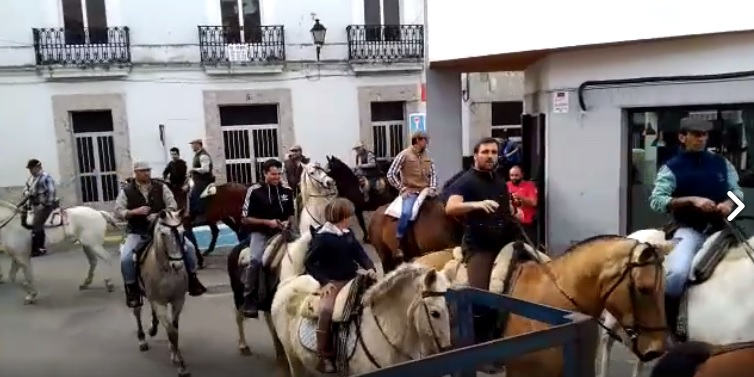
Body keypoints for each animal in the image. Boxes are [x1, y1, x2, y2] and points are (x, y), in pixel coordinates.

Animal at [131, 209, 192, 376]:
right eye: (163, 234)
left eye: (183, 232)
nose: (178, 265)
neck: (166, 271)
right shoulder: (159, 303)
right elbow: (171, 332)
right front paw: (182, 365)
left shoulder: (178, 300)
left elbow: (174, 328)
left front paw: (175, 354)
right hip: (138, 296)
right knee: (137, 312)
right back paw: (142, 339)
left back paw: (153, 328)